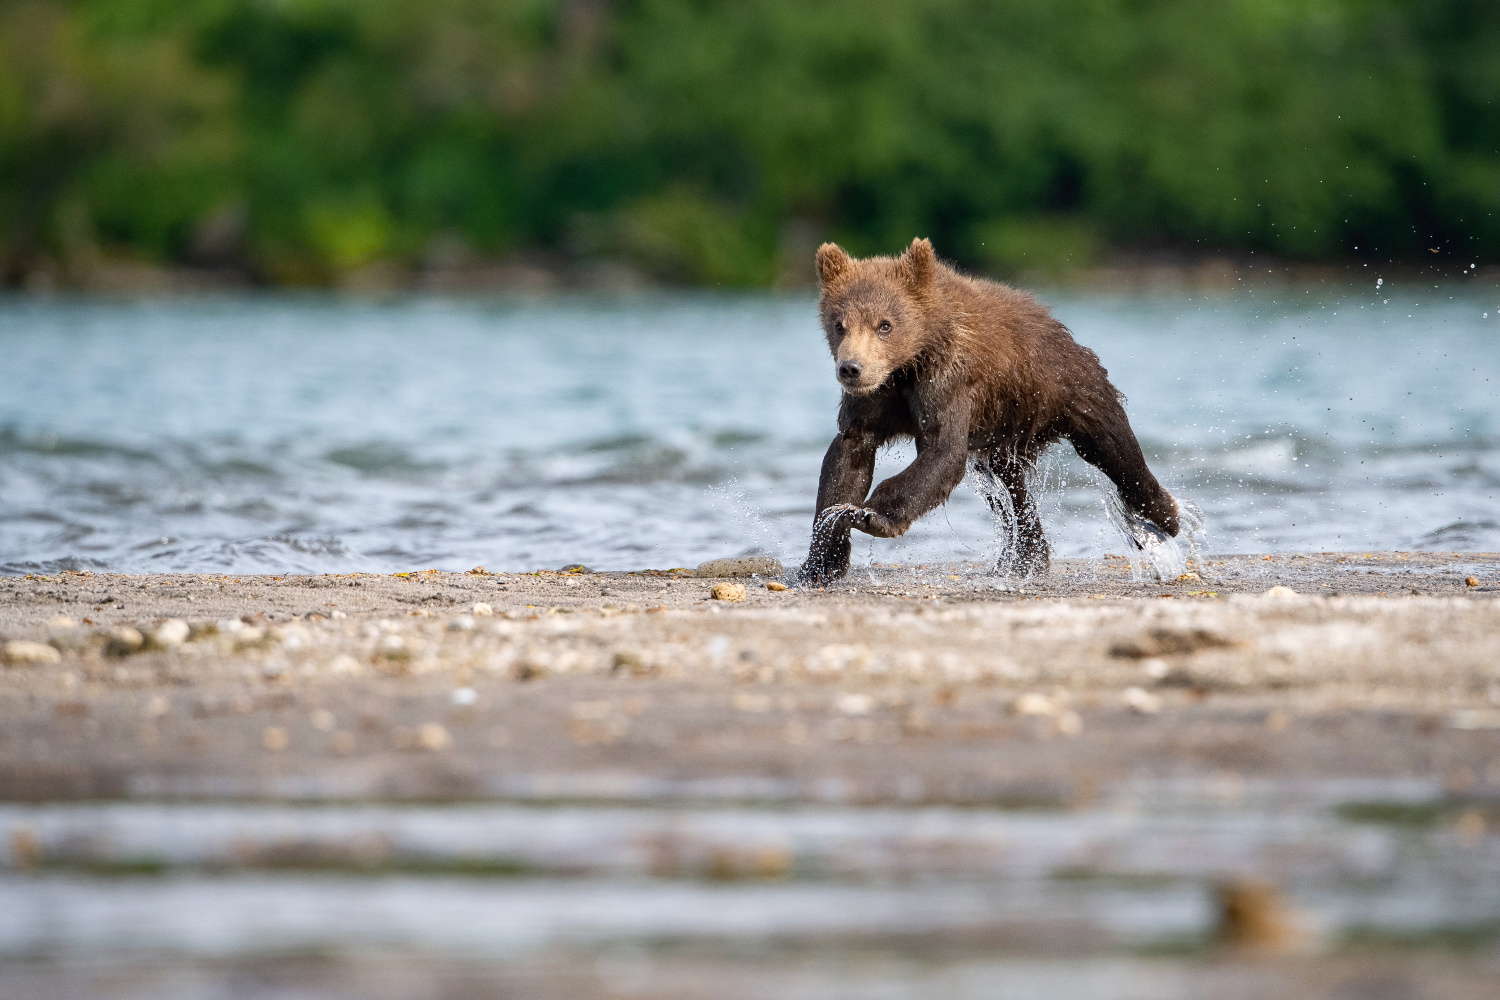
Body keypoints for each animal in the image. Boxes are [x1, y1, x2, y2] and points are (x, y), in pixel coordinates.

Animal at [804, 238, 1176, 581]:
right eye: (839, 324)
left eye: (885, 324)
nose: (851, 368)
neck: (908, 364)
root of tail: (1059, 328)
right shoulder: (875, 398)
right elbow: (849, 457)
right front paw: (821, 560)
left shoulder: (948, 380)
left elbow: (942, 450)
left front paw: (874, 515)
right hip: (1004, 435)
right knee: (1012, 490)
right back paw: (1027, 557)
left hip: (1072, 390)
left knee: (1113, 446)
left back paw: (1164, 515)